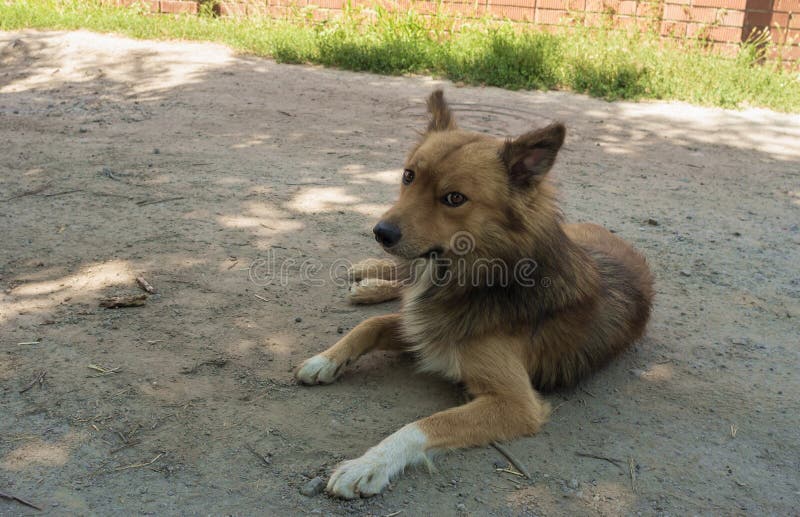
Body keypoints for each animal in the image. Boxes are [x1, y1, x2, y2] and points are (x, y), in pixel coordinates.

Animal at [296, 90, 652, 498]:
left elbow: (422, 425)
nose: (380, 232)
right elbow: (370, 326)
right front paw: (324, 360)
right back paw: (370, 276)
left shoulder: (515, 403)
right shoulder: (425, 326)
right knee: (400, 279)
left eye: (454, 198)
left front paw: (368, 464)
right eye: (408, 176)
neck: (480, 275)